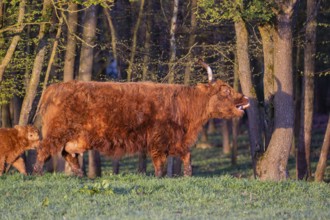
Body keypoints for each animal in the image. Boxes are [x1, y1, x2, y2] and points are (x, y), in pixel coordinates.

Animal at [34, 62, 250, 176]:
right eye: (225, 91)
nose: (246, 98)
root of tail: (55, 87)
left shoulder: (176, 141)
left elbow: (187, 156)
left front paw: (187, 175)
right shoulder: (158, 141)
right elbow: (160, 164)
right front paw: (161, 177)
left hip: (74, 139)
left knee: (68, 154)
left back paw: (81, 176)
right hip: (56, 133)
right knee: (43, 150)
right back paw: (36, 174)